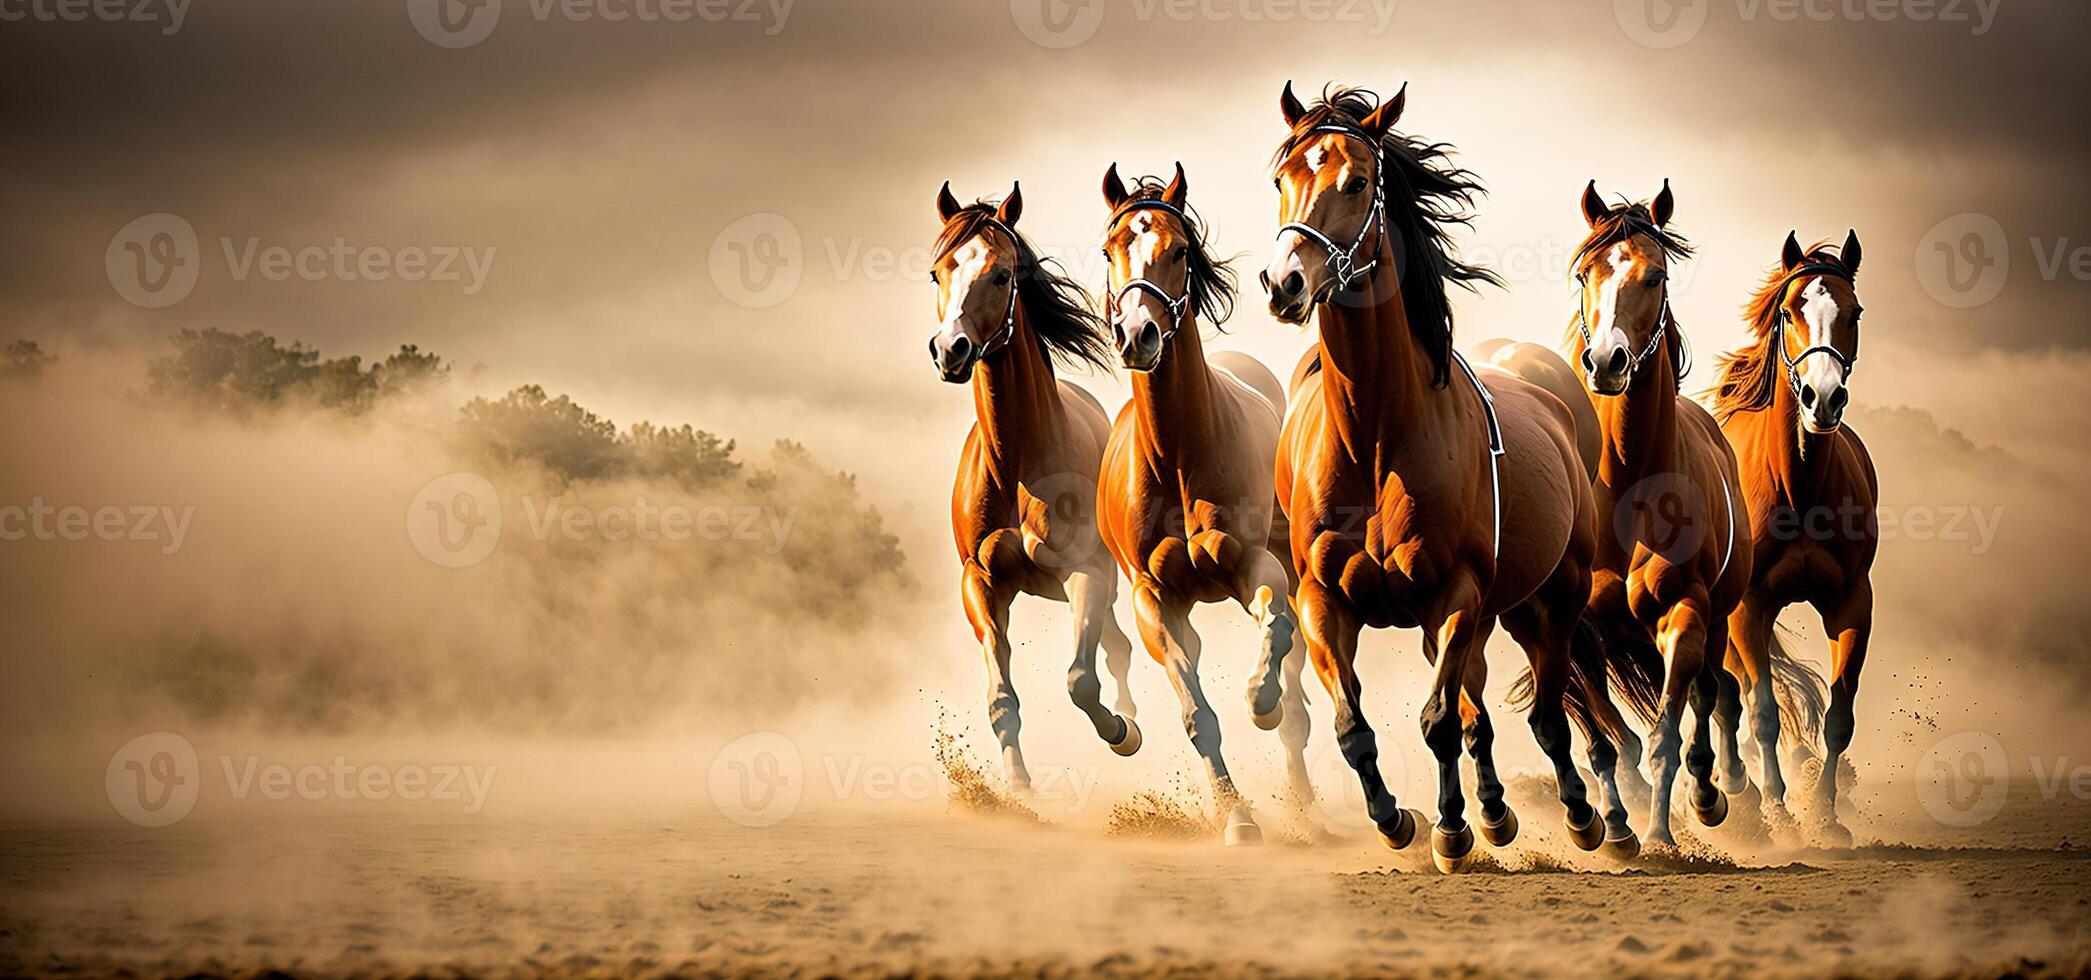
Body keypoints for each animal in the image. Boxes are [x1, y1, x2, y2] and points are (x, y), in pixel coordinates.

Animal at [928, 181, 1145, 794]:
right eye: (937, 273)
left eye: (1002, 274)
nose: (950, 350)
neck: (1017, 464)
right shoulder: (979, 583)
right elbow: (1002, 698)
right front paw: (1020, 787)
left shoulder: (1086, 572)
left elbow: (1081, 681)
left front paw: (1122, 733)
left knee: (1115, 650)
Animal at [1095, 164, 1304, 844]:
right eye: (1110, 250)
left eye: (1180, 250)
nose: (1137, 335)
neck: (1180, 454)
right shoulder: (1155, 601)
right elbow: (1196, 714)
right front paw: (1236, 817)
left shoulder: (1254, 567)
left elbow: (1276, 626)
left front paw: (1261, 702)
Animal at [1254, 80, 1614, 865]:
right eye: (1282, 178)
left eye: (1357, 181)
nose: (1285, 283)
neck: (1375, 440)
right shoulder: (1323, 599)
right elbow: (1354, 728)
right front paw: (1397, 821)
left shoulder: (1455, 593)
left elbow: (1439, 721)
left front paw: (1450, 831)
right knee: (1487, 709)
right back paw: (1497, 811)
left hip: (1551, 597)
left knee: (1547, 711)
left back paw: (1585, 817)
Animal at [1564, 181, 1756, 848]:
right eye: (1585, 273)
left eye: (1656, 276)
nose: (1607, 362)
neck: (1627, 491)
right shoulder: (1580, 630)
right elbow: (1608, 741)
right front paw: (1618, 828)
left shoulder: (1686, 612)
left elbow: (1667, 733)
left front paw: (1661, 835)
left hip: (1719, 618)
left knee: (1712, 696)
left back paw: (1715, 793)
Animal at [1706, 230, 1873, 840]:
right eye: (1788, 311)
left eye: (1854, 311)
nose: (1823, 399)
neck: (1797, 486)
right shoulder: (1749, 606)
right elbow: (1761, 713)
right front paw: (1779, 811)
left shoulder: (1851, 601)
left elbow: (1840, 716)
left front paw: (1825, 816)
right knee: (1723, 697)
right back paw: (1741, 796)